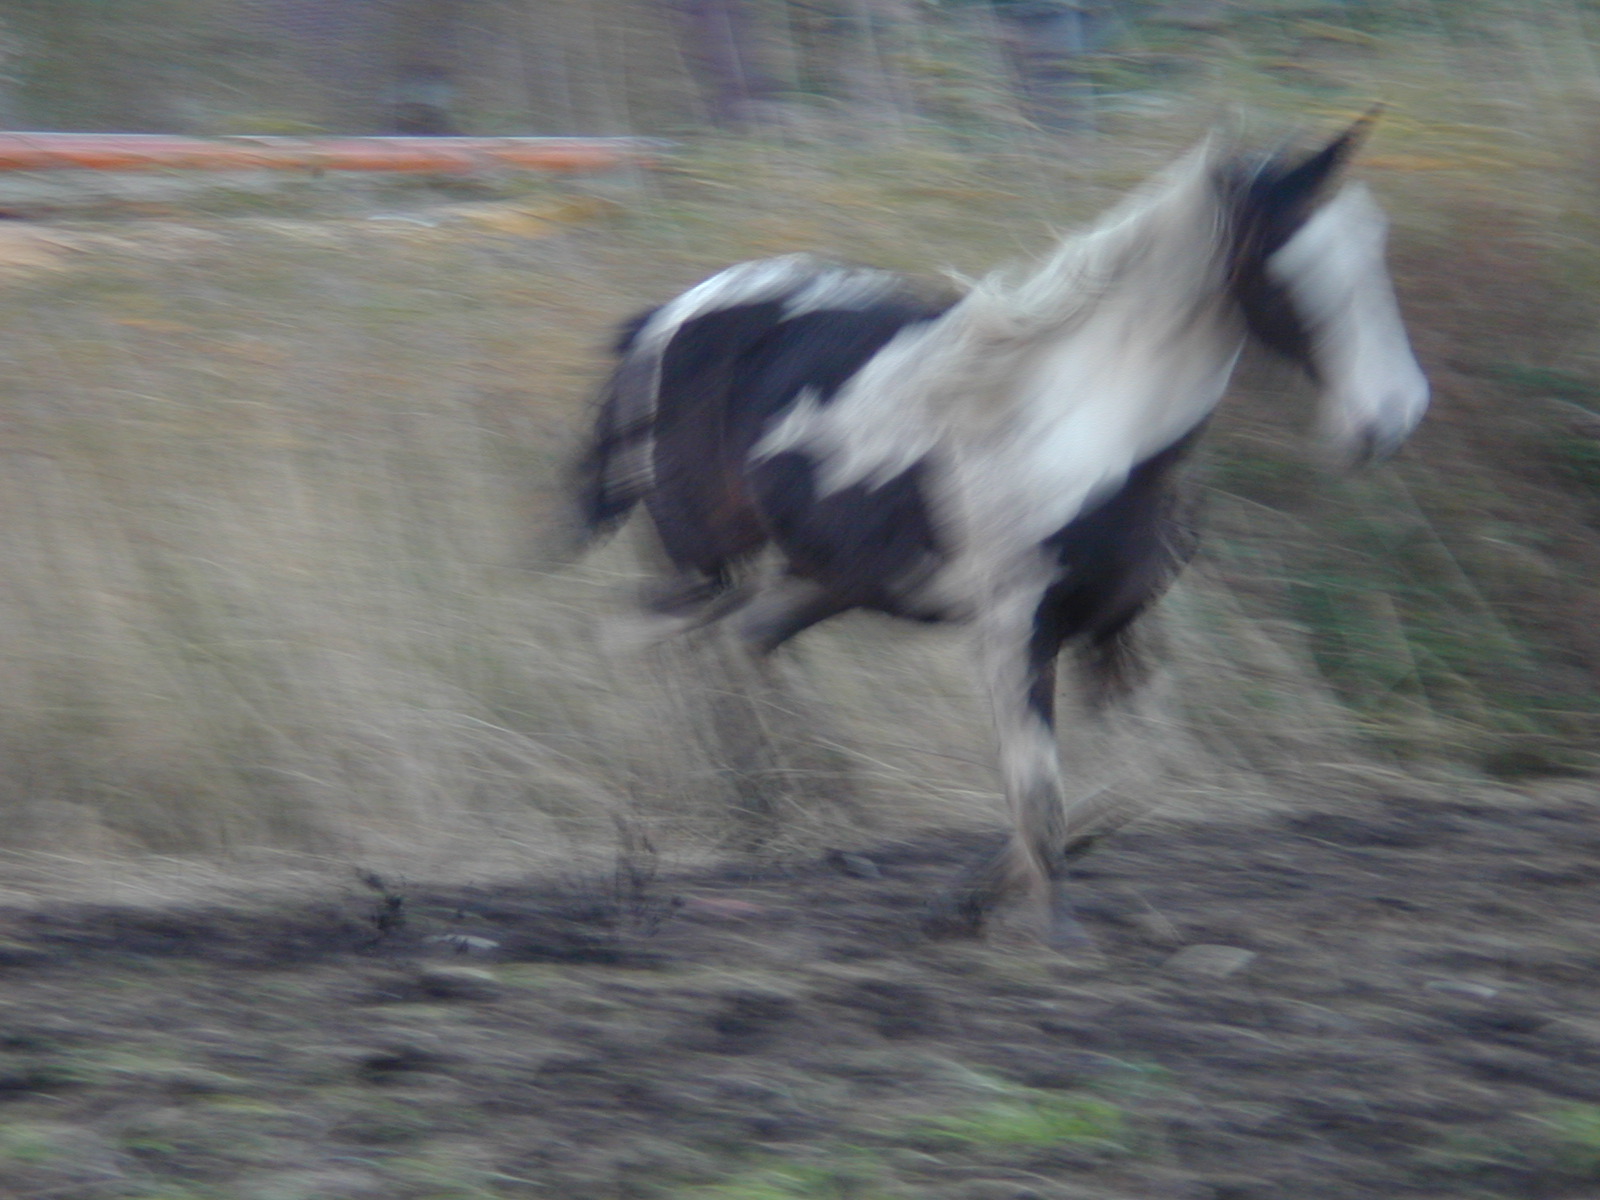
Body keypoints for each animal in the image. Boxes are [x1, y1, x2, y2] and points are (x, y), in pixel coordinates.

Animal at [569, 114, 1429, 947]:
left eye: (1373, 249)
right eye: (1286, 264)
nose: (1389, 418)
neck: (1083, 428)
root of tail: (663, 318)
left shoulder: (1115, 622)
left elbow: (1145, 775)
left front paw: (968, 901)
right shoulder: (1016, 627)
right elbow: (1039, 786)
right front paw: (1047, 927)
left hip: (823, 577)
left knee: (743, 642)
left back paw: (801, 824)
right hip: (700, 560)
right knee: (639, 645)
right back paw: (650, 830)